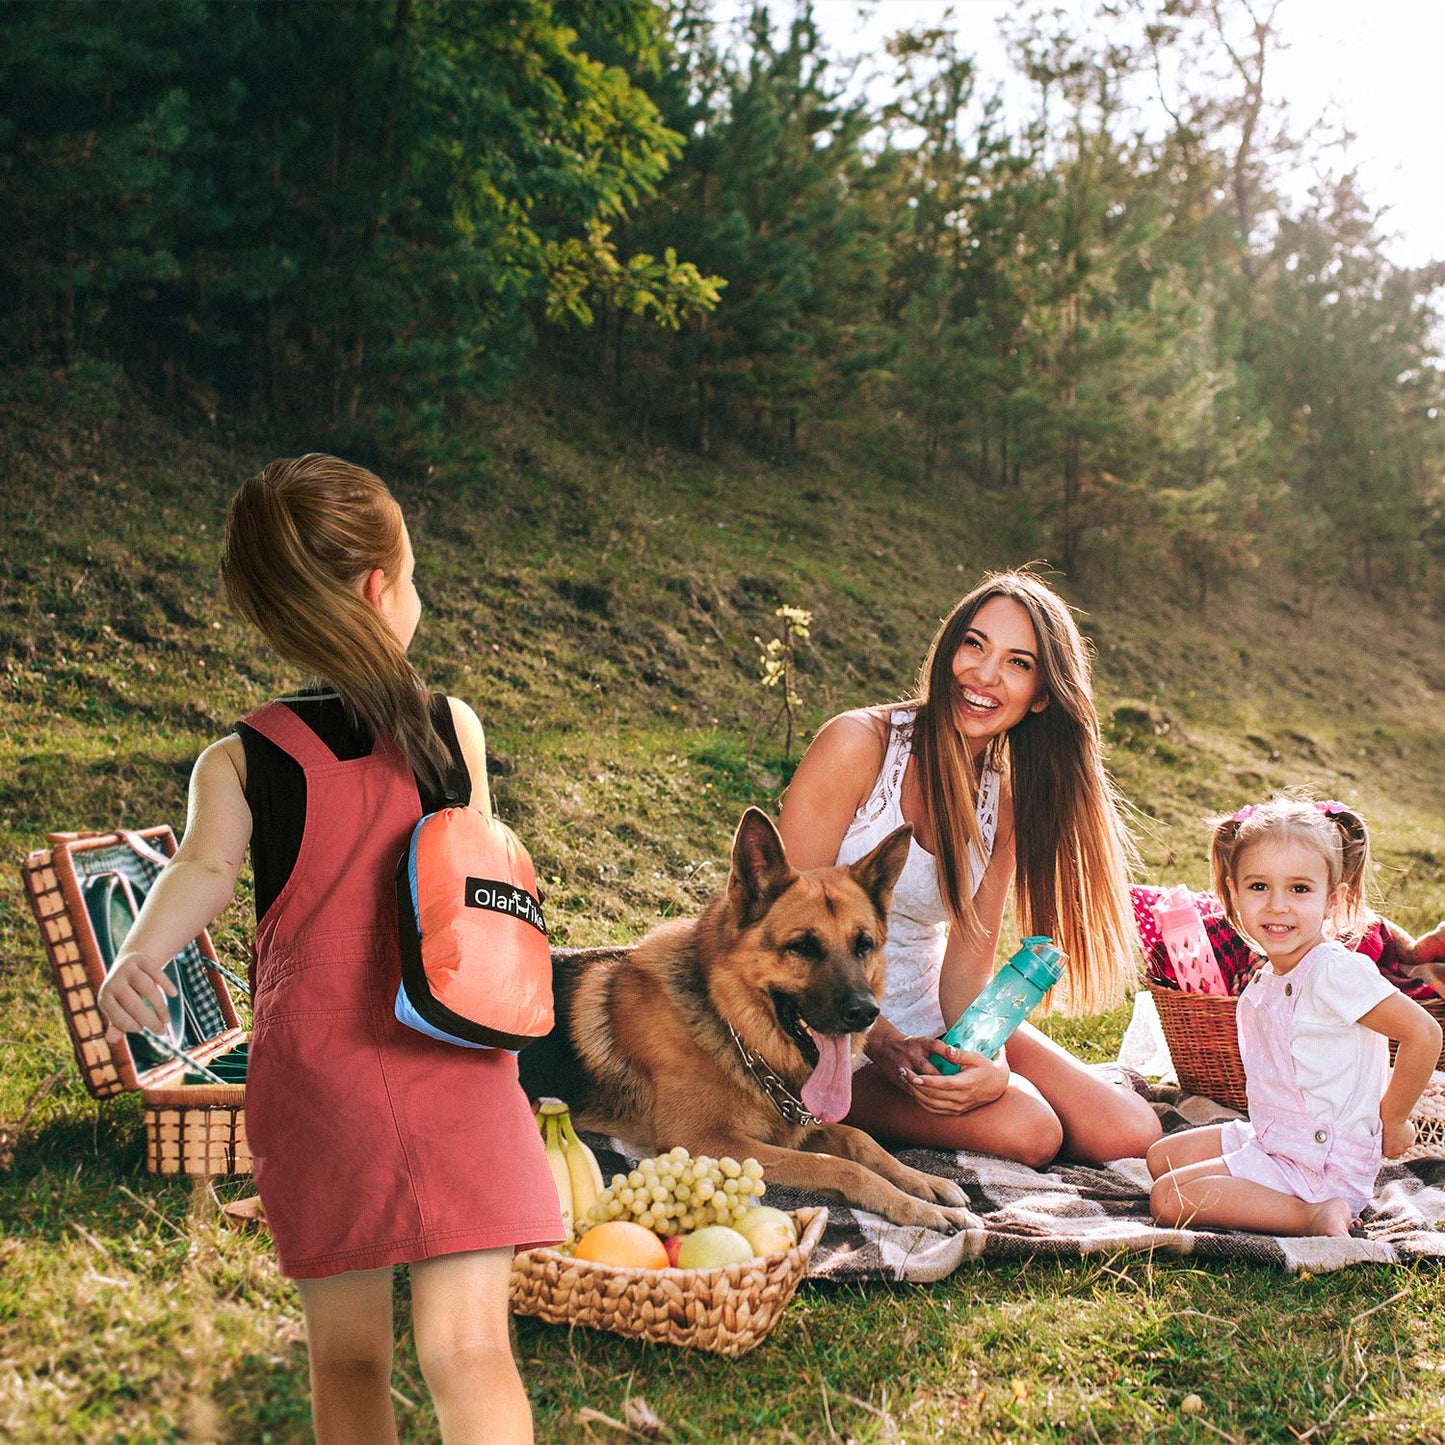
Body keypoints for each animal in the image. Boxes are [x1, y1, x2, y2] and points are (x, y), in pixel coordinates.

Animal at [525, 809, 988, 1225]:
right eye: (802, 946)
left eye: (864, 945)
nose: (866, 1013)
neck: (730, 1026)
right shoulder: (704, 1141)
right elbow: (836, 1164)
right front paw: (914, 1207)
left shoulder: (798, 1125)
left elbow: (862, 1140)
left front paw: (924, 1182)